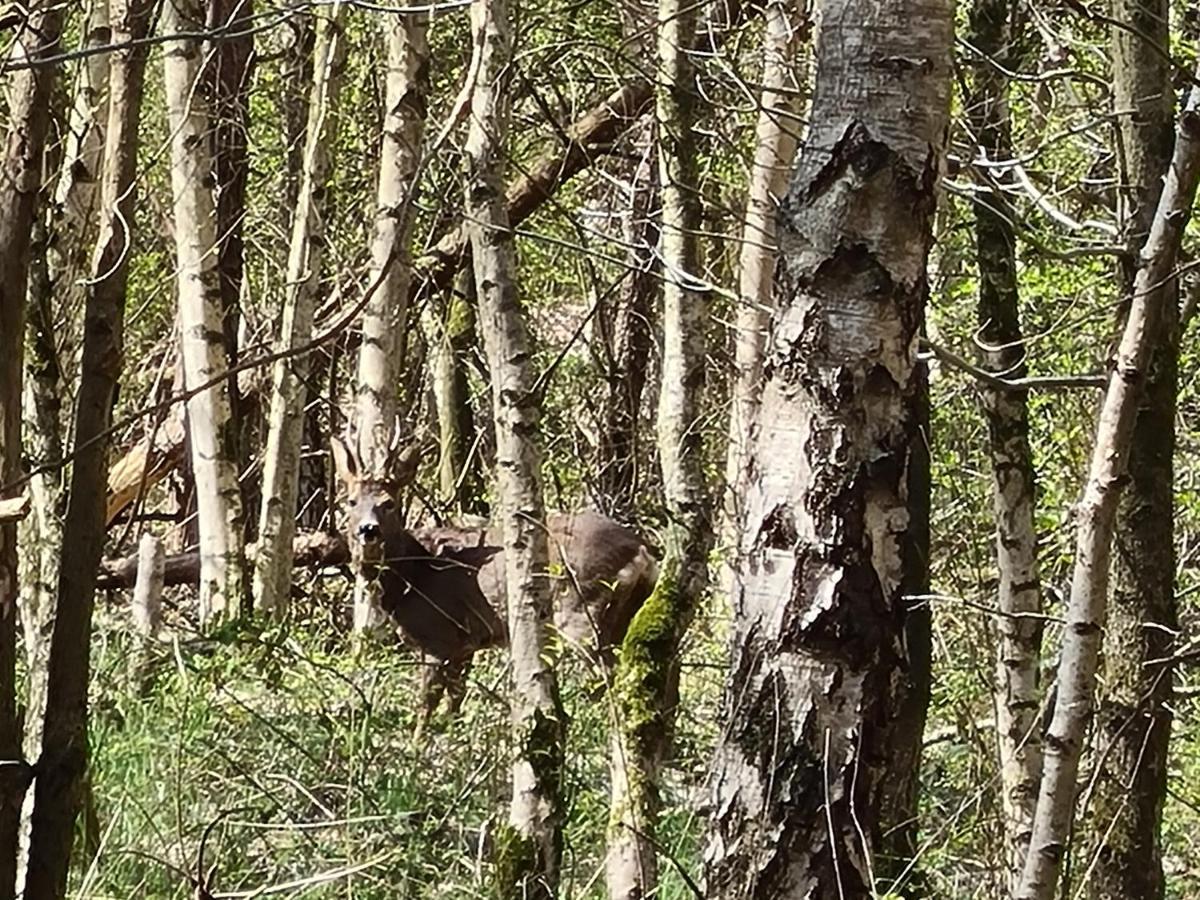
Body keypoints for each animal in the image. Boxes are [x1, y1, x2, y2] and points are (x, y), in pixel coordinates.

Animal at [333, 434, 662, 724]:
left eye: (389, 503)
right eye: (351, 501)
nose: (368, 530)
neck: (411, 576)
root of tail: (641, 549)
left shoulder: (439, 636)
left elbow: (426, 706)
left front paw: (418, 749)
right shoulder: (466, 645)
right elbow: (455, 703)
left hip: (583, 609)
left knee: (610, 680)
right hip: (622, 616)